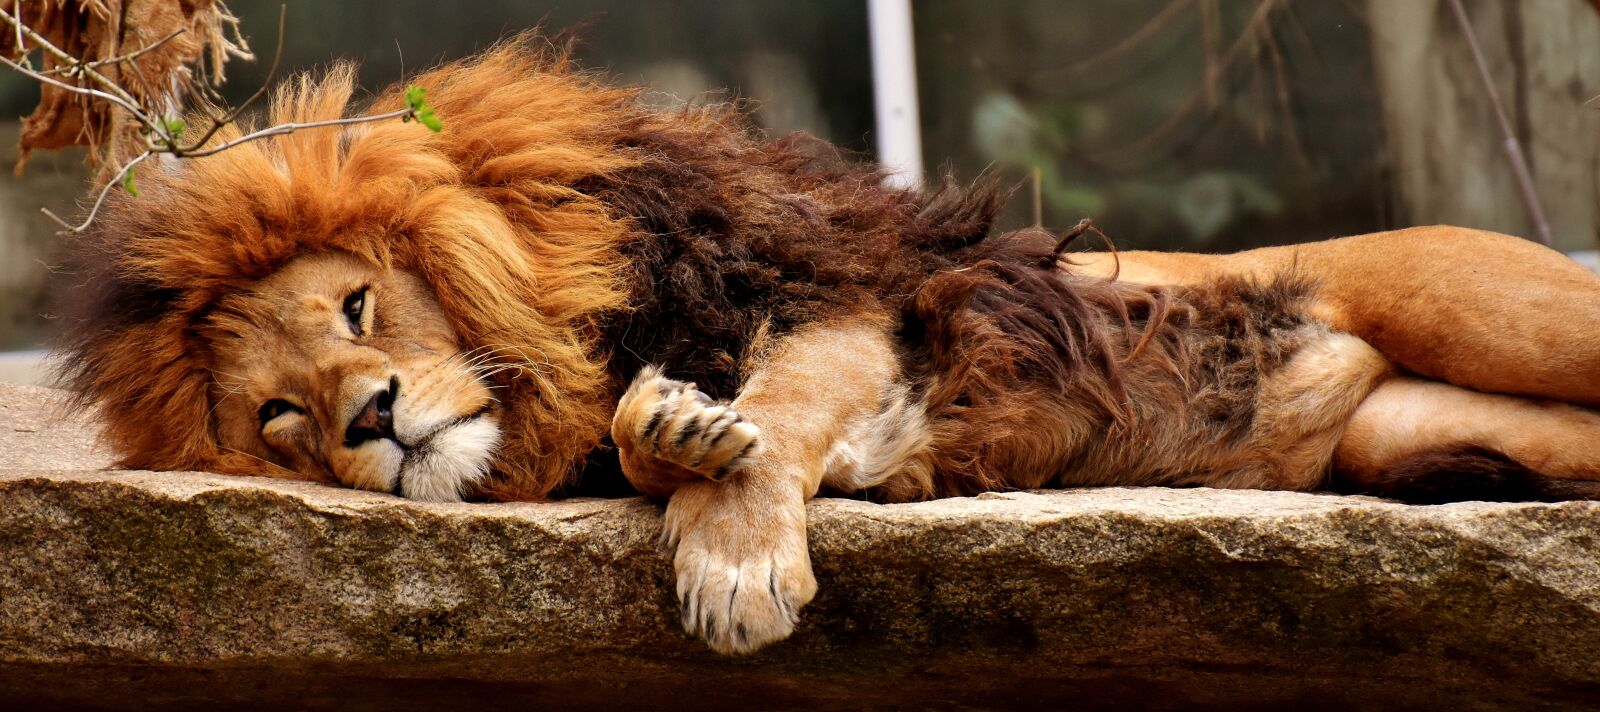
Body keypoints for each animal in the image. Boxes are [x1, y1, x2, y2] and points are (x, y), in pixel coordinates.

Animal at [55, 39, 1600, 655]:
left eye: (359, 312)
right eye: (277, 417)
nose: (372, 419)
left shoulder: (861, 305)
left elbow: (782, 410)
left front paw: (732, 555)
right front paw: (673, 430)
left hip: (1495, 311)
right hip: (1412, 435)